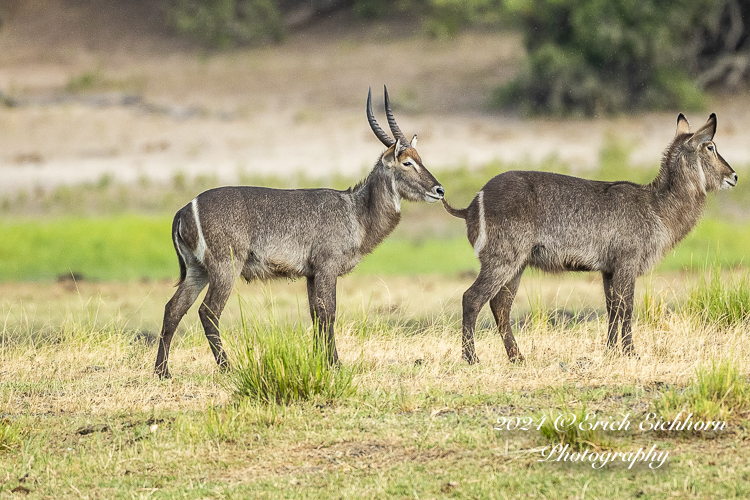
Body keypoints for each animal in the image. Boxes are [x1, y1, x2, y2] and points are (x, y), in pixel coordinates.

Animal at [154, 87, 446, 378]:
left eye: (420, 159)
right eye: (407, 163)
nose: (439, 190)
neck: (356, 212)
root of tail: (184, 209)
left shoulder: (311, 273)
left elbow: (316, 314)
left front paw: (319, 361)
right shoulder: (327, 266)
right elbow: (329, 312)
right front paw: (335, 364)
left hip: (198, 269)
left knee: (173, 309)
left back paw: (162, 371)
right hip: (225, 266)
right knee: (208, 312)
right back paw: (228, 368)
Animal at [444, 113, 736, 364]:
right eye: (710, 146)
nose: (733, 176)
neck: (657, 208)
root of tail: (472, 204)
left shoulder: (608, 269)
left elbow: (612, 309)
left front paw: (610, 352)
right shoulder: (627, 262)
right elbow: (627, 308)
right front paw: (631, 353)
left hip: (517, 264)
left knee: (500, 305)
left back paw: (517, 357)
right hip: (502, 258)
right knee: (472, 298)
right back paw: (471, 358)